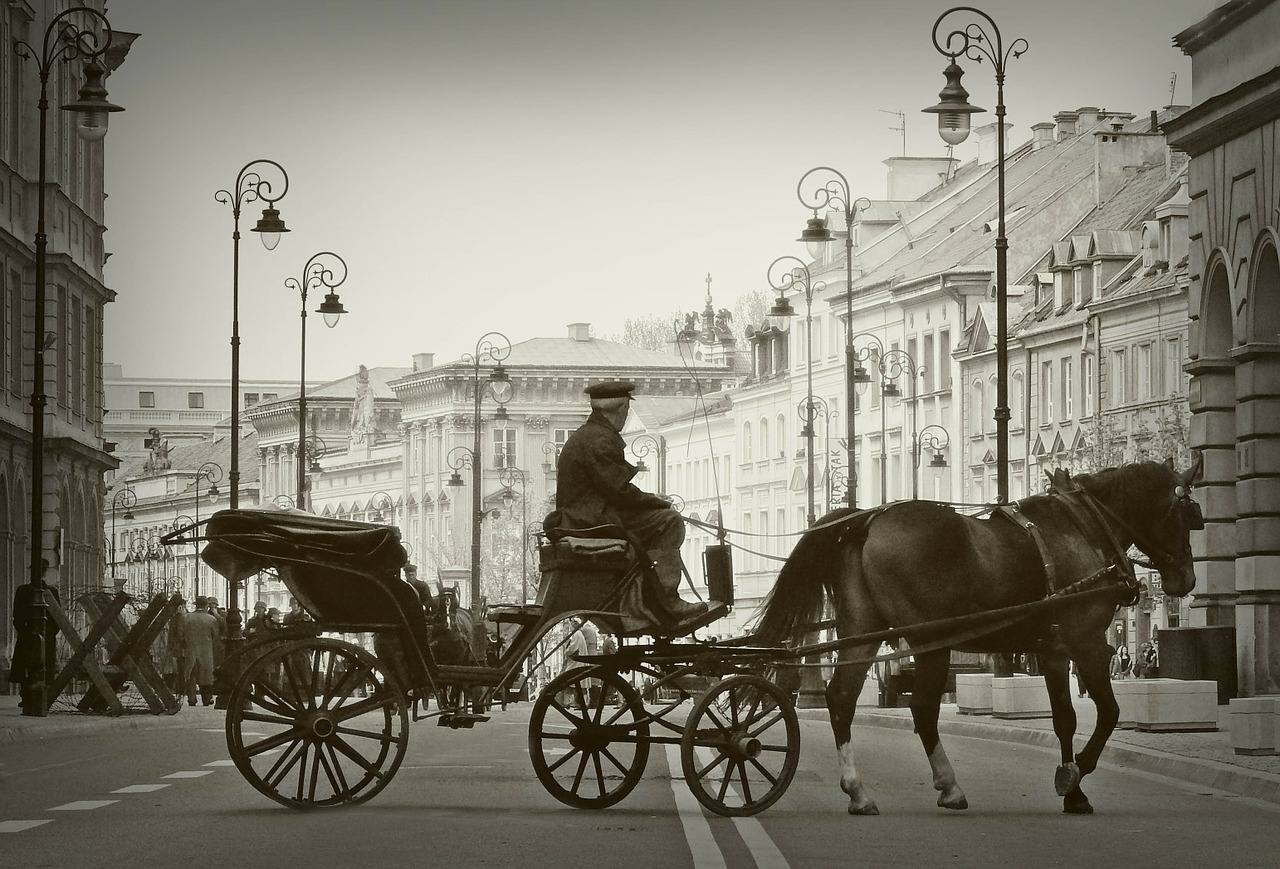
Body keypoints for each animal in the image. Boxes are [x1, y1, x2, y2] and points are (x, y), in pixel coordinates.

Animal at [747, 458, 1198, 819]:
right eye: (1188, 515)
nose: (1186, 579)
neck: (1083, 527)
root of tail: (868, 520)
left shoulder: (1053, 651)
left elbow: (1065, 720)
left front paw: (1073, 791)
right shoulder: (1086, 643)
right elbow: (1108, 713)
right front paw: (1075, 775)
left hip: (862, 631)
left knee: (842, 698)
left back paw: (858, 792)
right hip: (930, 640)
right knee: (923, 709)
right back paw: (949, 786)